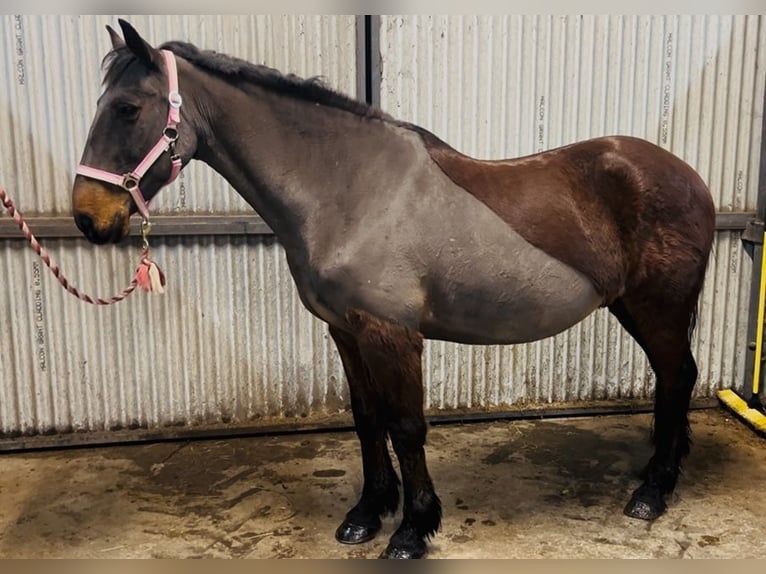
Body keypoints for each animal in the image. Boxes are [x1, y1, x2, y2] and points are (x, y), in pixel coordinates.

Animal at [71, 20, 716, 559]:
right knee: (672, 379)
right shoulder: (345, 330)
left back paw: (652, 493)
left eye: (127, 108)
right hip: (633, 307)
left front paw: (412, 529)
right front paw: (367, 512)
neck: (348, 189)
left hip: (657, 308)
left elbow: (406, 426)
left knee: (678, 376)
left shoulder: (392, 334)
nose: (87, 217)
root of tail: (687, 176)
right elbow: (367, 418)